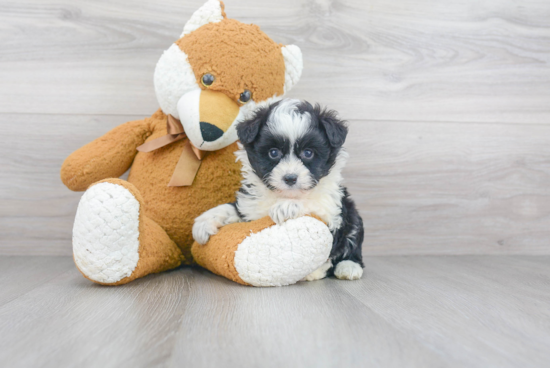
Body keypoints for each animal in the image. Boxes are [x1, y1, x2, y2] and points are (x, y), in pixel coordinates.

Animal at [194, 99, 366, 280]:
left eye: (308, 153)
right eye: (274, 152)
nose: (290, 178)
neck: (281, 195)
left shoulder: (333, 209)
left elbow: (314, 204)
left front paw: (287, 206)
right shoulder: (250, 208)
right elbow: (233, 208)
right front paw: (204, 222)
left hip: (353, 216)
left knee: (352, 241)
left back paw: (348, 267)